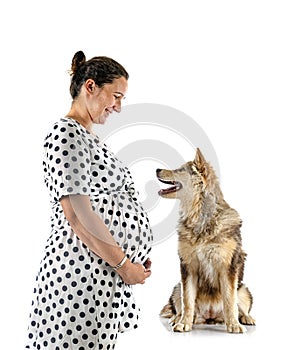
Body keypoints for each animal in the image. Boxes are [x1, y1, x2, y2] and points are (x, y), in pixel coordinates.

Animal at [157, 148, 255, 334]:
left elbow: (230, 300)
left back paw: (246, 318)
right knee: (179, 306)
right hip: (177, 287)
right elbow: (187, 300)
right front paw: (183, 323)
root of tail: (210, 316)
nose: (157, 169)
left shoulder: (228, 267)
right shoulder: (188, 266)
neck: (200, 216)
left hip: (244, 289)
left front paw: (234, 325)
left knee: (241, 306)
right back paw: (177, 318)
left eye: (180, 169)